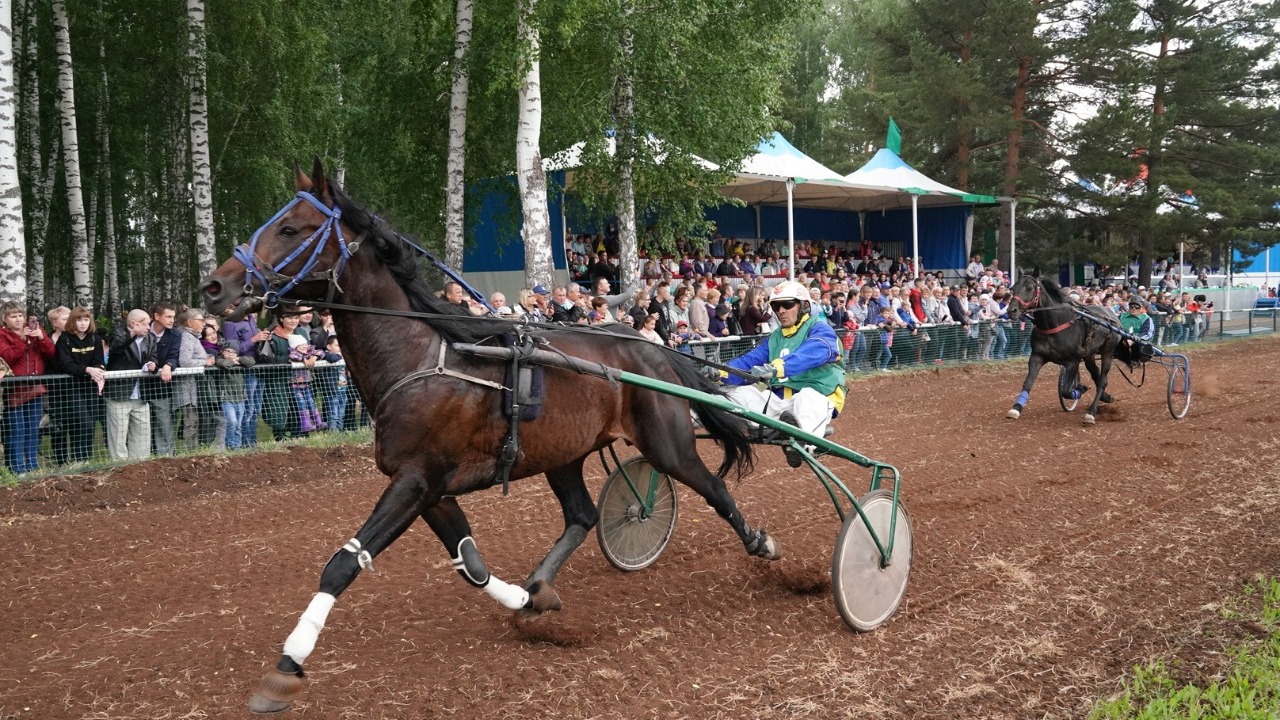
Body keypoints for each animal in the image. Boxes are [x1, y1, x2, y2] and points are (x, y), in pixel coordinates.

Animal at [198, 160, 778, 714]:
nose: (214, 286)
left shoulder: (416, 481)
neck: (421, 359)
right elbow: (470, 564)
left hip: (665, 442)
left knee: (712, 487)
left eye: (290, 228)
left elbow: (343, 563)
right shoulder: (430, 489)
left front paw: (287, 664)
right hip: (562, 453)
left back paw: (759, 541)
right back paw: (541, 582)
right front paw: (528, 601)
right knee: (583, 515)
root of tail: (647, 344)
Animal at [1004, 273, 1120, 425]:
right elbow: (1028, 382)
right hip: (1089, 355)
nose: (1011, 311)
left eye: (1029, 288)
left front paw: (1079, 389)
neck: (1054, 323)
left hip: (1108, 351)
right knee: (1096, 375)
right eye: (1012, 288)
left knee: (1102, 381)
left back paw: (1091, 413)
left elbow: (1066, 390)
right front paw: (1016, 408)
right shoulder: (1036, 357)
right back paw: (1105, 397)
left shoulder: (1072, 362)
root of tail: (1111, 314)